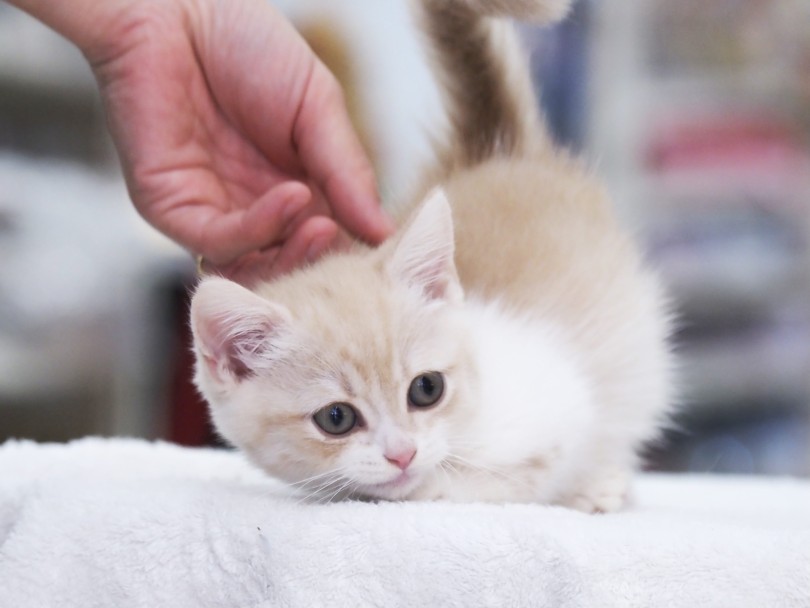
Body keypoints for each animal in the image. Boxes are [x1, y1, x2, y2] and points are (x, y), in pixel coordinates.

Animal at [188, 0, 668, 512]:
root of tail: (495, 151)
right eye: (336, 418)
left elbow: (522, 474)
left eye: (427, 389)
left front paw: (588, 487)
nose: (402, 453)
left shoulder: (563, 402)